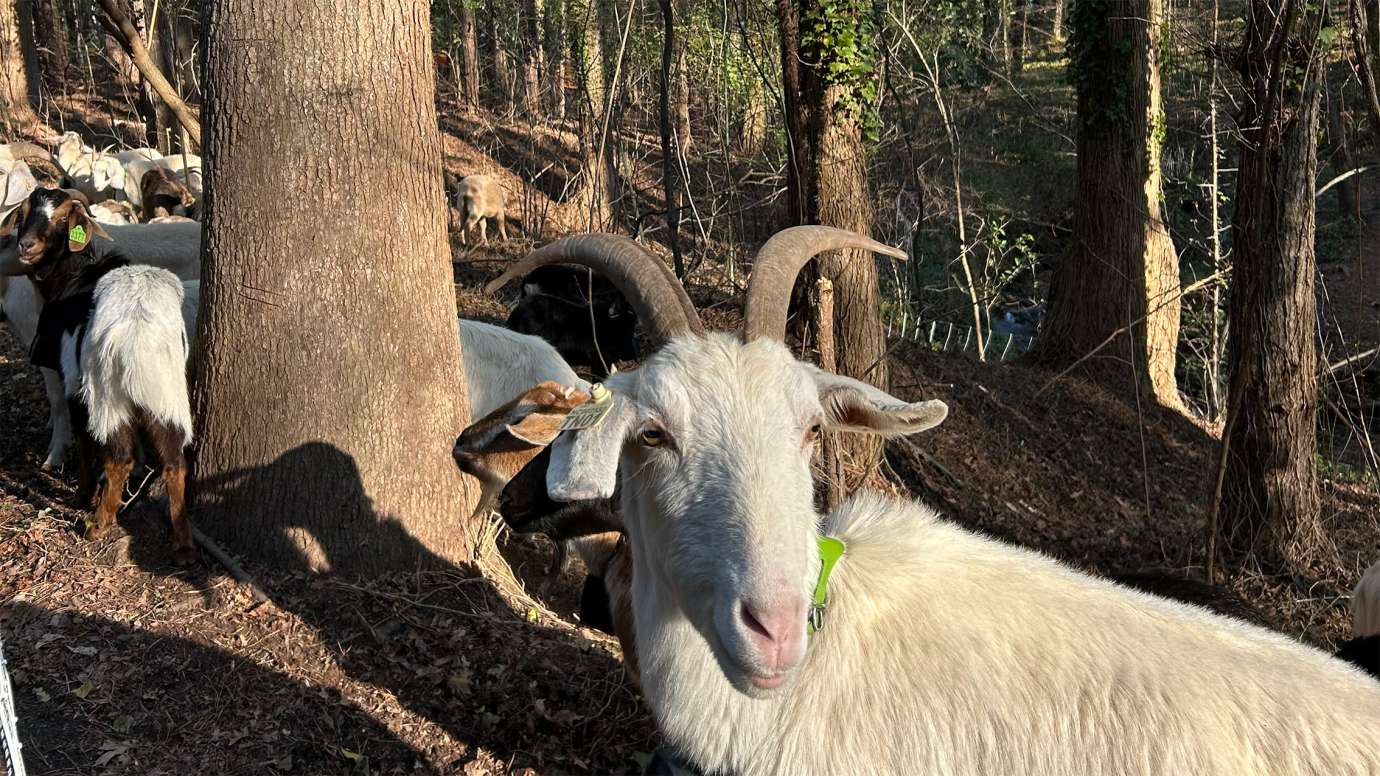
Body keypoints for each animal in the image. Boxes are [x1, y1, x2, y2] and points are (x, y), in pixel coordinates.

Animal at [7, 188, 196, 564]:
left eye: (62, 218)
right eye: (28, 211)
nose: (26, 246)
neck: (75, 275)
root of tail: (138, 330)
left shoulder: (74, 382)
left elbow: (85, 443)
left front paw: (84, 494)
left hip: (107, 393)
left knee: (118, 455)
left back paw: (100, 521)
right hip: (166, 393)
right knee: (173, 461)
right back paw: (183, 544)